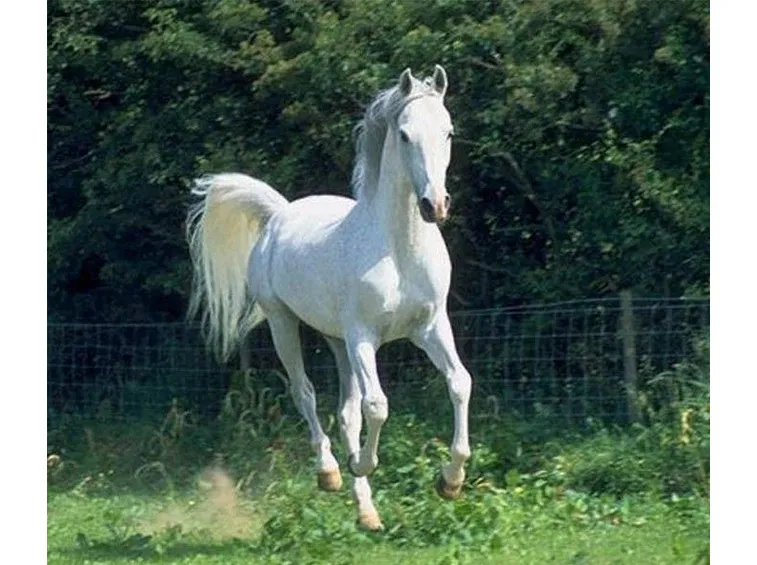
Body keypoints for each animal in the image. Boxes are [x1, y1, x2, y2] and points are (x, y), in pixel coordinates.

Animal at [186, 65, 472, 531]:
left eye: (448, 132)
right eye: (405, 135)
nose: (435, 205)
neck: (398, 248)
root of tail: (279, 214)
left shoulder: (430, 328)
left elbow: (459, 384)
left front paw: (450, 481)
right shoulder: (364, 338)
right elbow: (378, 406)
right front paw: (361, 463)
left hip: (336, 340)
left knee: (346, 413)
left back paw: (367, 512)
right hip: (285, 324)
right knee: (305, 393)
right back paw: (331, 472)